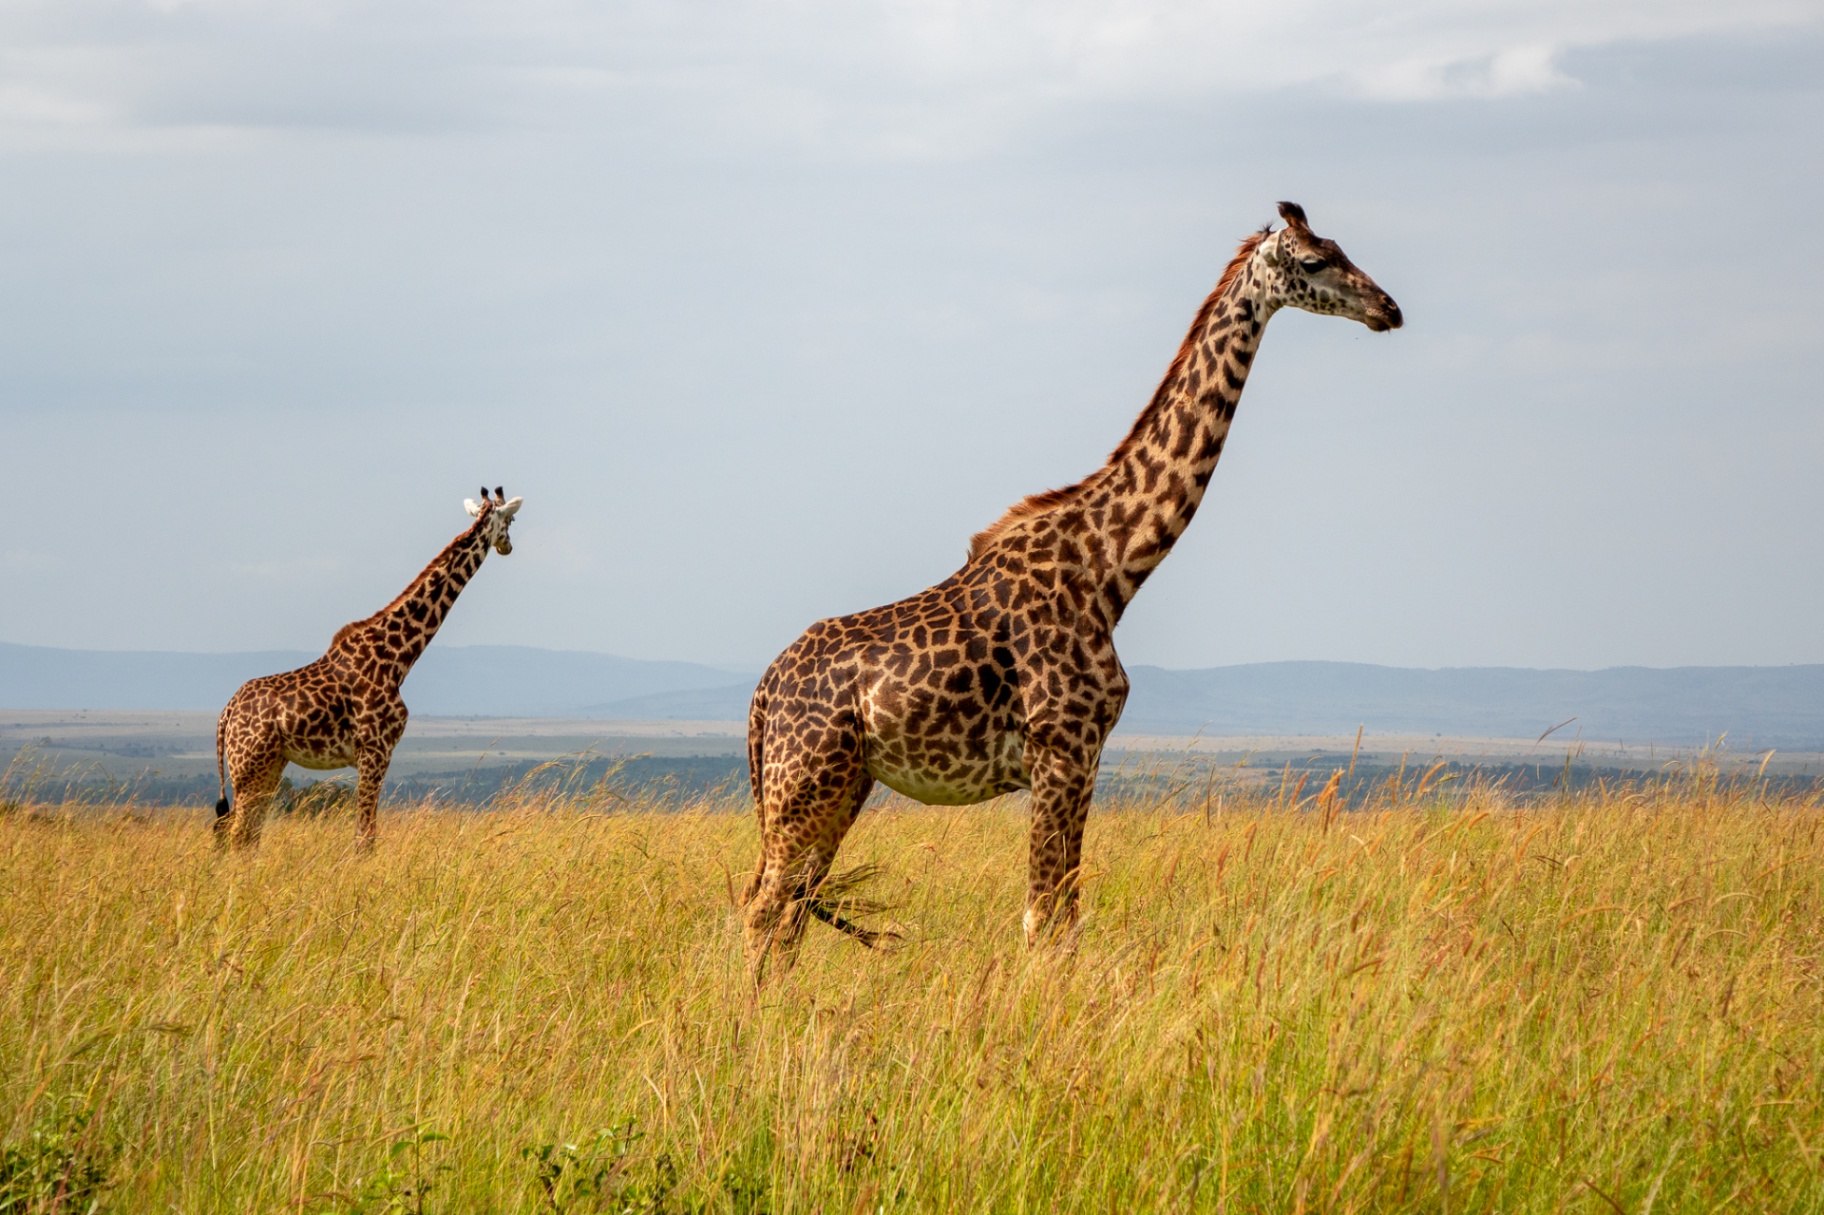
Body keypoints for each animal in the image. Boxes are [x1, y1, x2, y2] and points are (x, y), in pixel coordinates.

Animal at [213, 487, 523, 850]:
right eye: (511, 520)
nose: (507, 546)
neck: (398, 657)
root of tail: (226, 714)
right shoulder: (376, 750)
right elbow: (365, 837)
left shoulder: (371, 754)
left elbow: (365, 834)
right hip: (249, 766)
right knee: (237, 834)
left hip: (269, 764)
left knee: (248, 834)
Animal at [742, 203, 1401, 964]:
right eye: (1316, 261)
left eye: (1342, 247)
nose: (1388, 309)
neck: (1112, 567)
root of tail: (762, 696)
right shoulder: (1060, 749)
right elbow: (1044, 920)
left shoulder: (1086, 757)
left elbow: (1067, 918)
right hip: (803, 785)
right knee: (762, 910)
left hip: (841, 786)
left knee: (787, 913)